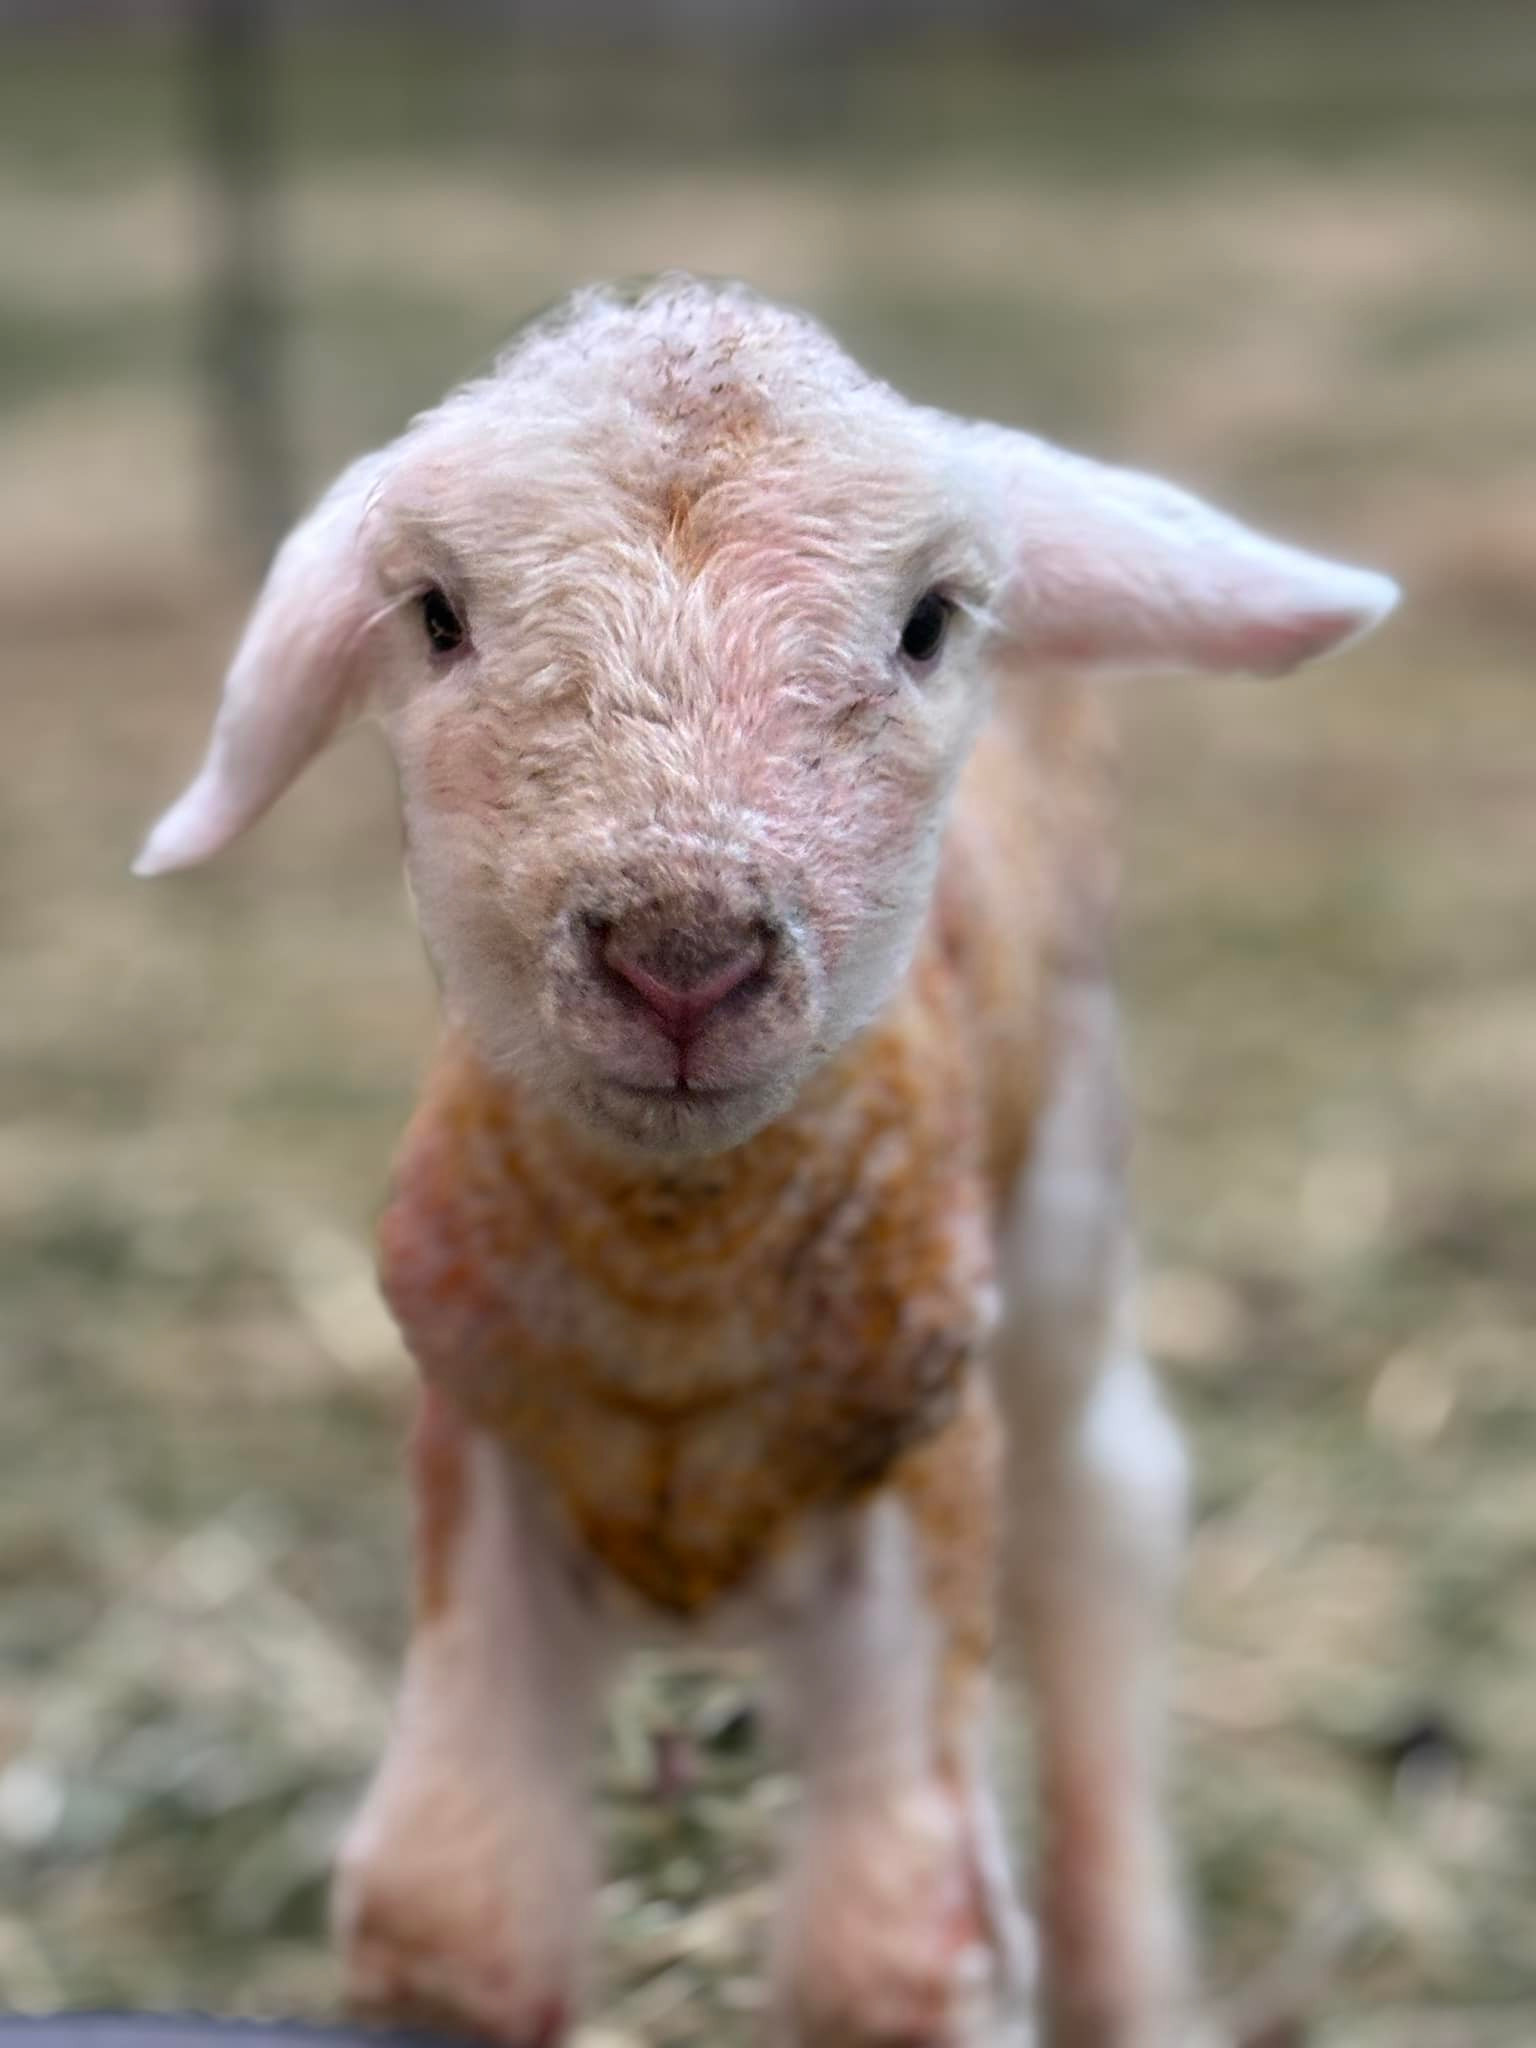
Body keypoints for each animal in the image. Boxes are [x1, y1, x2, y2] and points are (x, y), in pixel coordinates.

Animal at [136, 274, 1397, 2048]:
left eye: (927, 623)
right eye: (438, 616)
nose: (682, 952)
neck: (679, 1281)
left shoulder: (920, 1480)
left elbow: (894, 1947)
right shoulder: (479, 1458)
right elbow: (452, 1910)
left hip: (1067, 1184)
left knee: (1102, 1517)